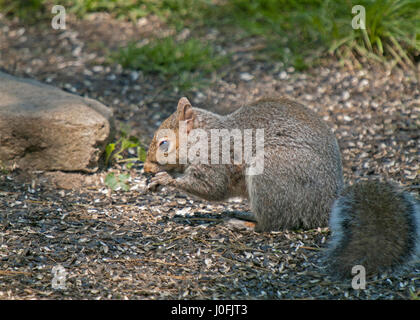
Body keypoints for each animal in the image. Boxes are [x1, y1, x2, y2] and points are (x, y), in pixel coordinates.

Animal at [144, 96, 420, 278]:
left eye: (164, 144)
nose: (146, 169)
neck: (203, 137)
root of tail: (326, 204)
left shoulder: (216, 158)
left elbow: (212, 187)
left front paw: (164, 180)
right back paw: (243, 214)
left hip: (271, 173)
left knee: (272, 224)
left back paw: (243, 224)